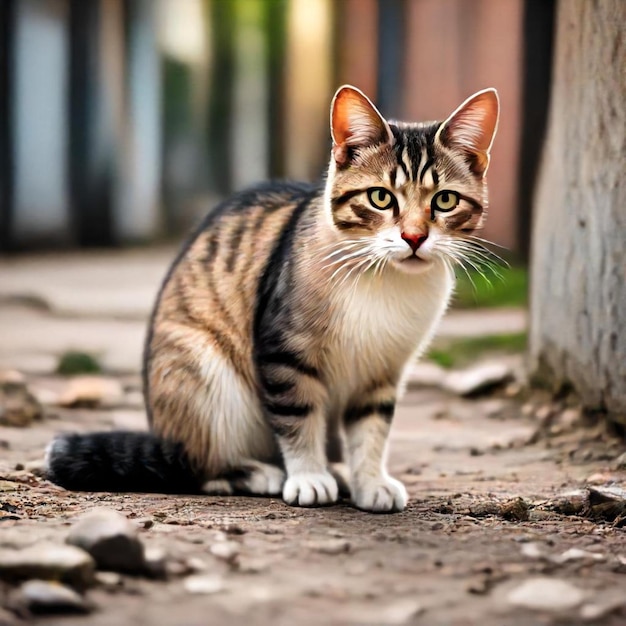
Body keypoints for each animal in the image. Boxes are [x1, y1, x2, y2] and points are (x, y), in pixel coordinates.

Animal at [45, 85, 498, 510]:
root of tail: (166, 436)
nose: (414, 237)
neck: (384, 279)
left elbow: (371, 428)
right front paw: (309, 476)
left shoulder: (383, 370)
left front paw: (370, 482)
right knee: (195, 465)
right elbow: (297, 417)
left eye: (445, 200)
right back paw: (259, 473)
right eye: (381, 197)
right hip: (203, 377)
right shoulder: (283, 351)